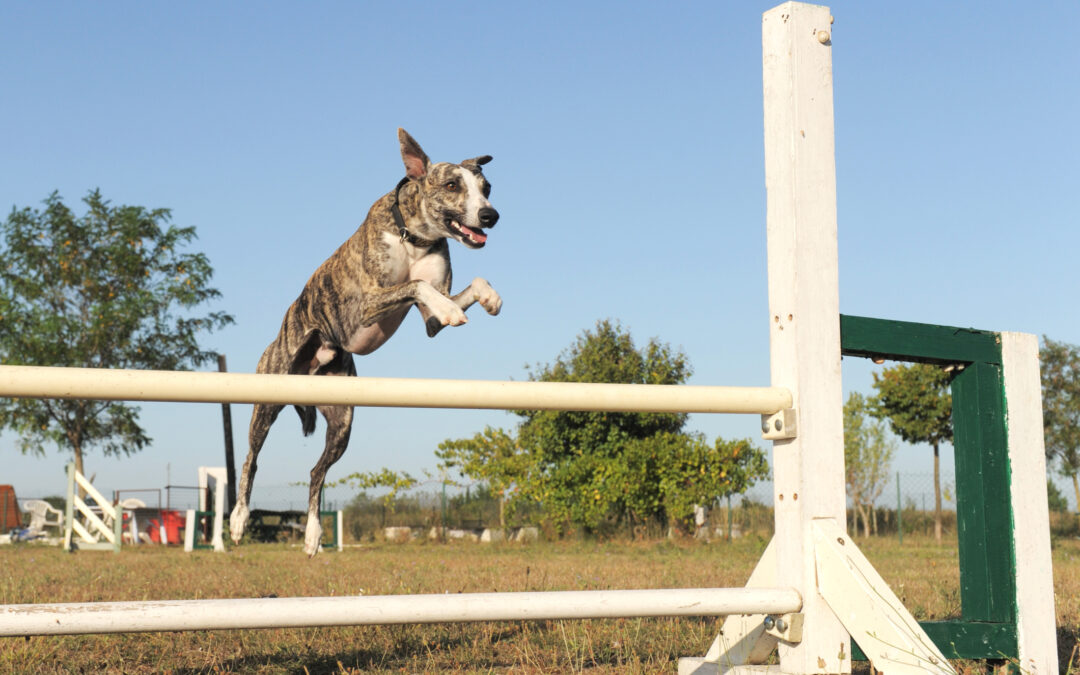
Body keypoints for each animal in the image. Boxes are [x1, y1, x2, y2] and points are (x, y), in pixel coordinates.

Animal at [230, 129, 498, 557]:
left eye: (487, 188)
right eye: (452, 185)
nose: (491, 216)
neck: (413, 236)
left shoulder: (429, 323)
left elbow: (463, 287)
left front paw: (490, 298)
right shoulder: (366, 304)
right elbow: (416, 284)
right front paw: (452, 308)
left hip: (342, 425)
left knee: (316, 472)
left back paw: (312, 535)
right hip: (267, 399)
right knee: (251, 460)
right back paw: (239, 520)